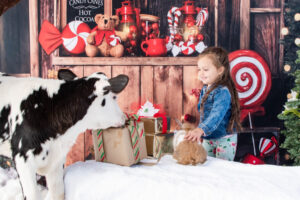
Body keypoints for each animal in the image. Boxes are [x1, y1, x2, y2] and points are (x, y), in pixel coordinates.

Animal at [0, 69, 127, 200]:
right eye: (114, 97)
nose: (124, 118)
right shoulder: (23, 158)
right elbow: (33, 195)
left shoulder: (57, 161)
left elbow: (58, 193)